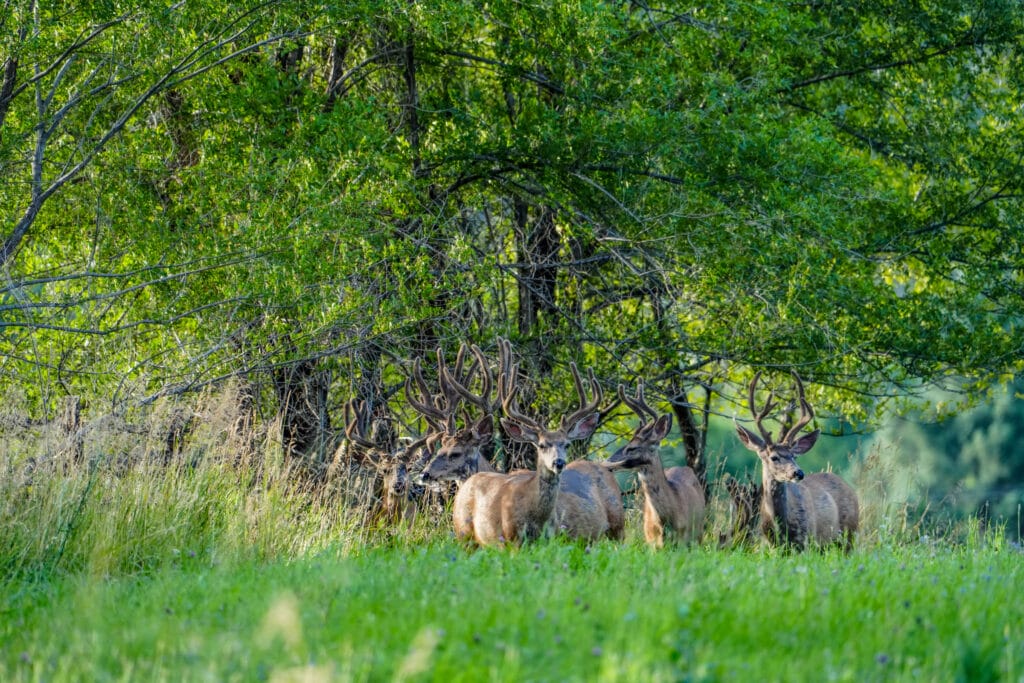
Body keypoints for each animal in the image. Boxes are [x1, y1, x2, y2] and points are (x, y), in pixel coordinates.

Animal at [451, 338, 624, 545]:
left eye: (567, 444)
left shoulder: (551, 538)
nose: (559, 463)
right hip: (463, 533)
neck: (535, 516)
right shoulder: (511, 539)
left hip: (618, 524)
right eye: (541, 445)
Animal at [734, 371, 859, 552]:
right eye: (774, 457)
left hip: (849, 533)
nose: (798, 473)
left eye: (794, 456)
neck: (780, 526)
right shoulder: (770, 545)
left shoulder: (806, 539)